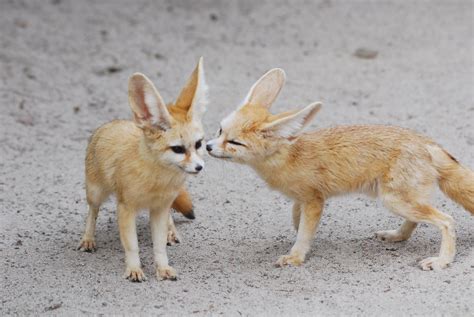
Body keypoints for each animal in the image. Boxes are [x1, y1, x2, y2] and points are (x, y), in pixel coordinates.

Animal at [79, 58, 207, 280]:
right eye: (178, 149)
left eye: (198, 144)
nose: (199, 167)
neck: (157, 181)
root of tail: (112, 123)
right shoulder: (126, 209)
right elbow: (132, 246)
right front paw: (134, 269)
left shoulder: (160, 207)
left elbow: (159, 246)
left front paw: (163, 268)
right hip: (95, 193)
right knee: (92, 212)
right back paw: (88, 238)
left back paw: (171, 231)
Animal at [207, 68, 474, 270]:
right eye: (220, 131)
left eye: (234, 143)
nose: (207, 147)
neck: (287, 157)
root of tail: (427, 142)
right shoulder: (303, 199)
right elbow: (297, 220)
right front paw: (300, 236)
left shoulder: (314, 200)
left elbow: (304, 231)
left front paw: (296, 256)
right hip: (400, 201)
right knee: (416, 221)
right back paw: (396, 236)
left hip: (395, 200)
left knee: (447, 221)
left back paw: (442, 261)